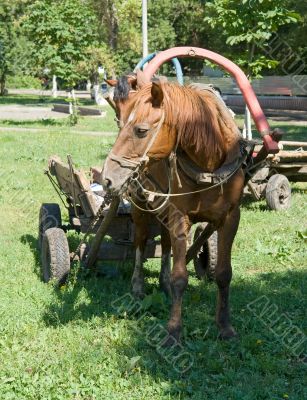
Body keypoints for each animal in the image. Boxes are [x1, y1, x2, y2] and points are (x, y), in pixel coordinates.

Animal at [103, 76, 245, 344]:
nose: (107, 178)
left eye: (141, 130)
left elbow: (224, 273)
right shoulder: (180, 217)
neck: (208, 165)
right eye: (120, 124)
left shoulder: (231, 217)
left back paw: (163, 282)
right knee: (139, 243)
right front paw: (173, 331)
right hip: (140, 209)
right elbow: (180, 277)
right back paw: (138, 286)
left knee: (166, 244)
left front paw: (225, 326)